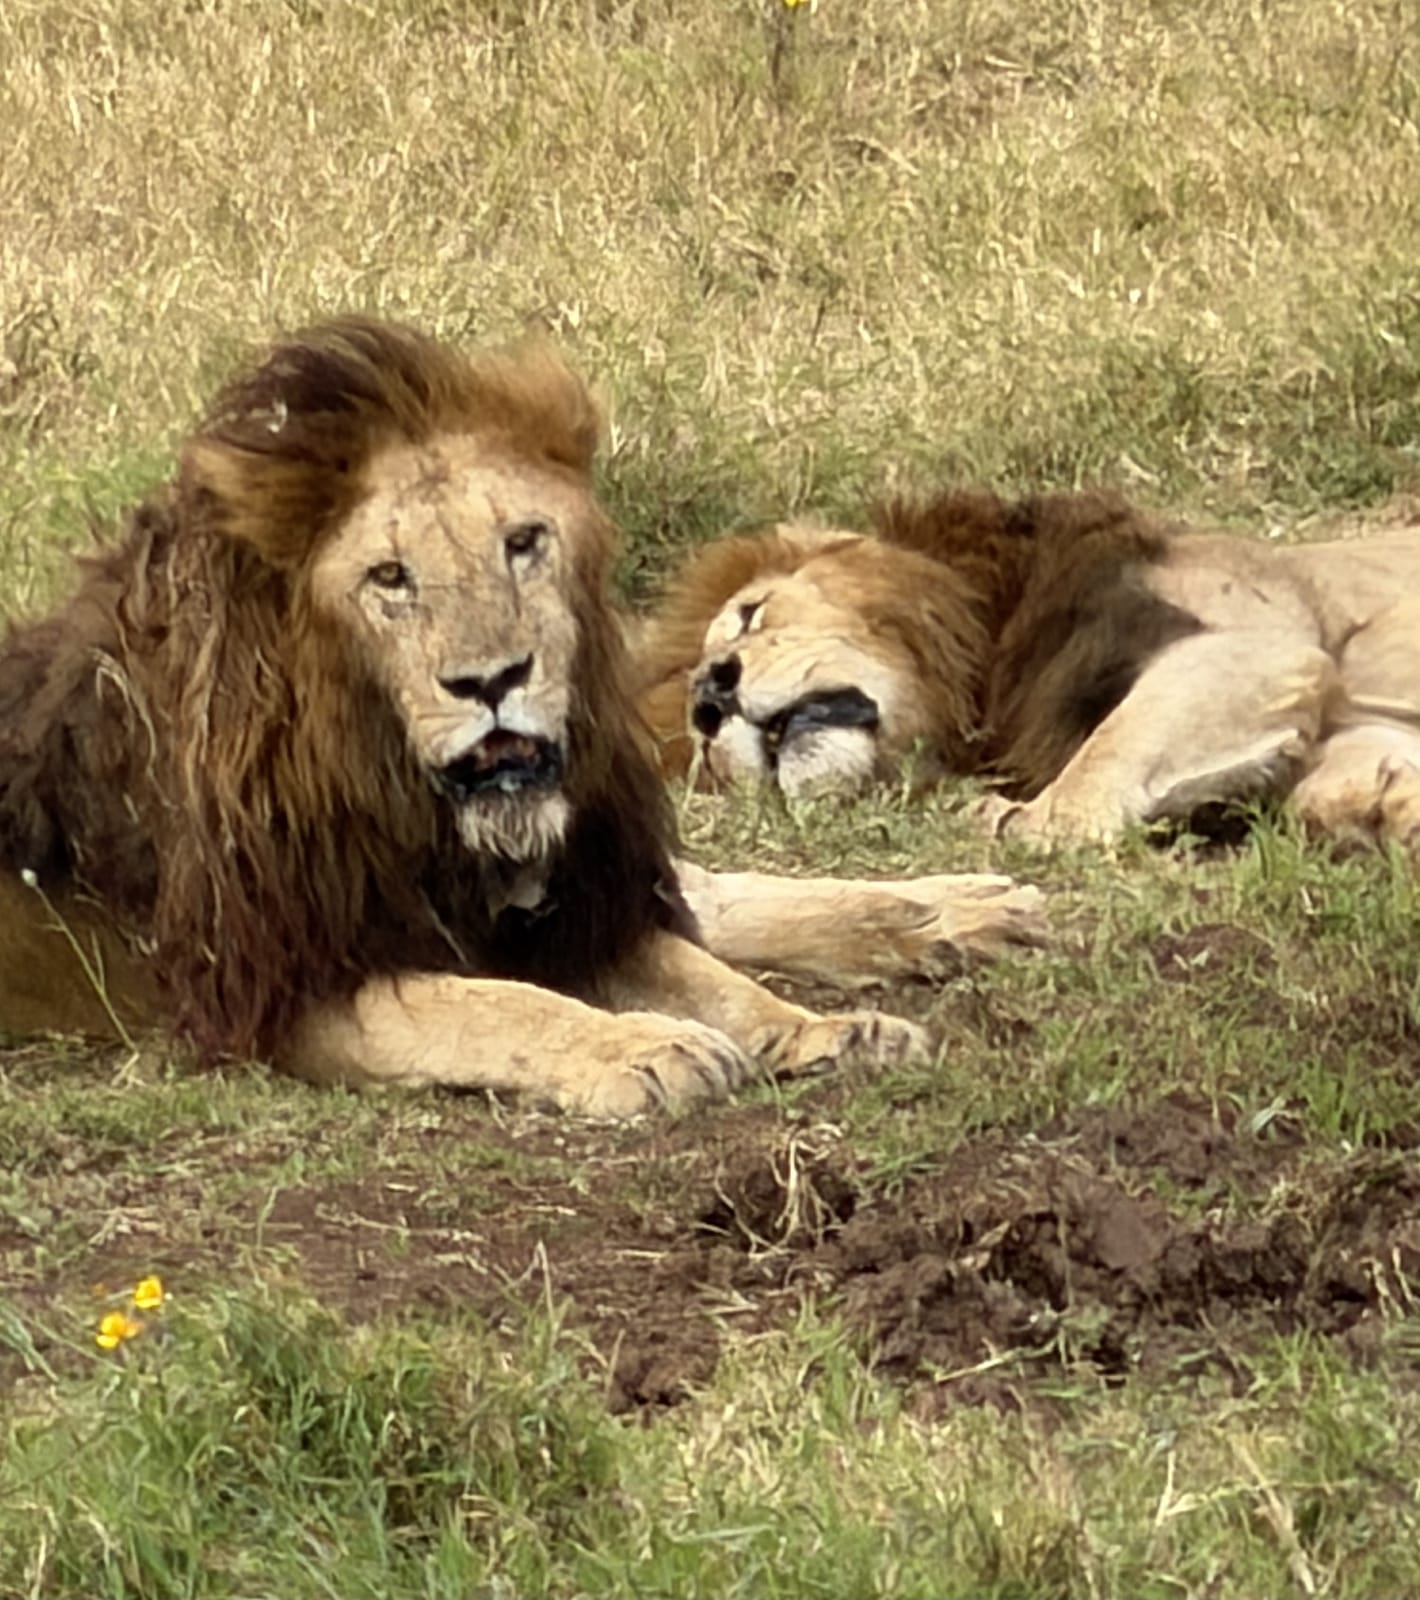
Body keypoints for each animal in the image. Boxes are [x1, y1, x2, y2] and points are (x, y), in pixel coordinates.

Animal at [0, 319, 1045, 1119]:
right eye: (390, 577)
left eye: (523, 542)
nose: (493, 679)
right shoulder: (284, 982)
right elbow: (486, 1005)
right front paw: (640, 1049)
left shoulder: (568, 910)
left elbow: (701, 972)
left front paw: (818, 1031)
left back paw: (957, 908)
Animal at [634, 488, 1420, 848]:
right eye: (701, 747)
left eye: (750, 614)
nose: (711, 696)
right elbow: (1338, 788)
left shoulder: (1247, 646)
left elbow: (1106, 753)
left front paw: (1017, 817)